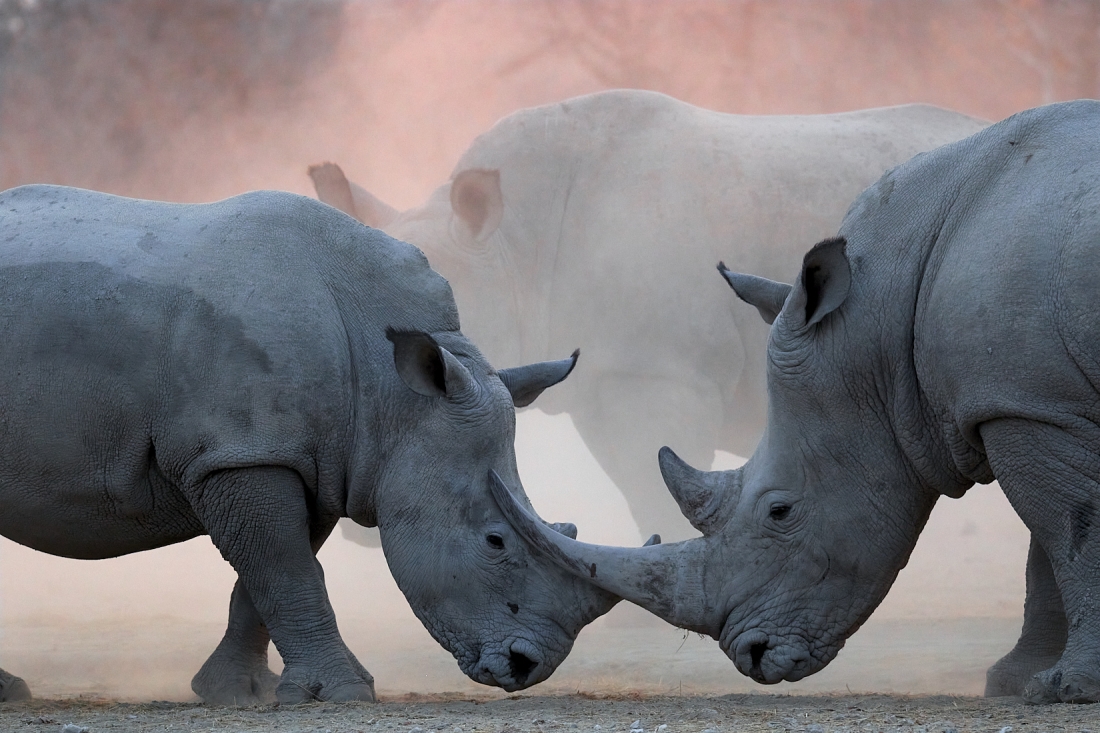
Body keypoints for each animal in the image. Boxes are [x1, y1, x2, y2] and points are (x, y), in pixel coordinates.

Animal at [0, 184, 619, 704]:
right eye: (495, 542)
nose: (528, 666)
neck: (391, 393)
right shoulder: (241, 452)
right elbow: (288, 570)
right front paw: (345, 694)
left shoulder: (314, 459)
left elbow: (270, 576)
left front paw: (239, 694)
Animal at [310, 89, 988, 542]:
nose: (362, 527)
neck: (514, 245)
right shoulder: (604, 373)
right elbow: (638, 481)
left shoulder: (658, 372)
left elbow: (653, 475)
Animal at [489, 100, 1100, 703]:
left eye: (780, 511)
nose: (752, 655)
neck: (882, 319)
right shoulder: (1029, 401)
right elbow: (1046, 548)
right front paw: (1016, 682)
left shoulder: (1029, 404)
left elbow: (1066, 530)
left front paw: (1068, 685)